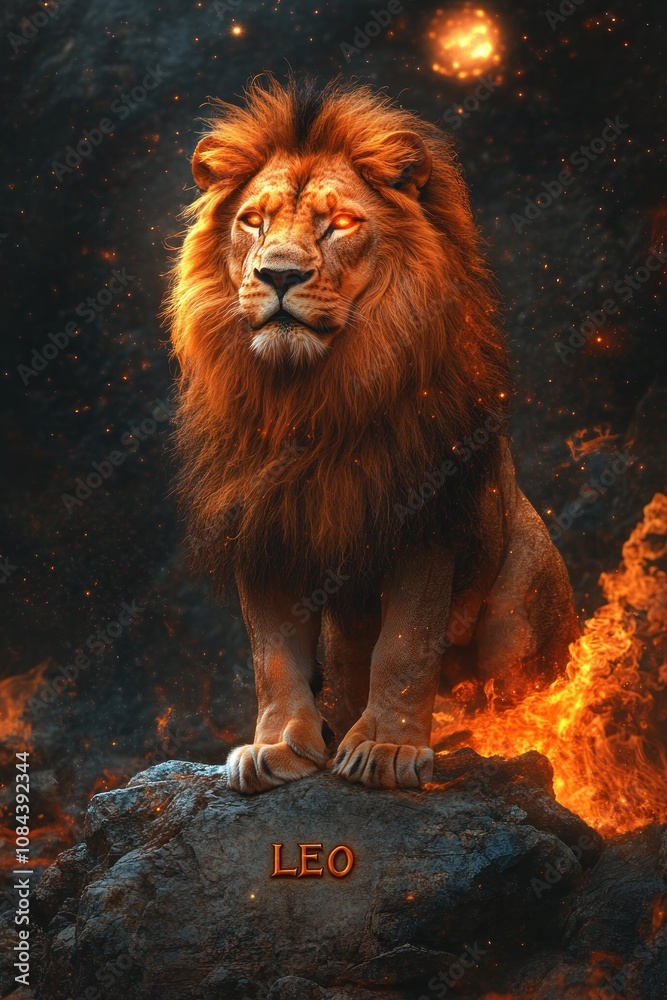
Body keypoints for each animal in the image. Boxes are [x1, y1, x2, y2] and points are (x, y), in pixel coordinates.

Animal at [167, 76, 579, 794]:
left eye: (340, 224)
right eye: (253, 221)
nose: (278, 275)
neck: (308, 395)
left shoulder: (423, 520)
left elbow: (405, 645)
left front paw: (387, 748)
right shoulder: (264, 525)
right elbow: (272, 655)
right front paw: (277, 747)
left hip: (517, 612)